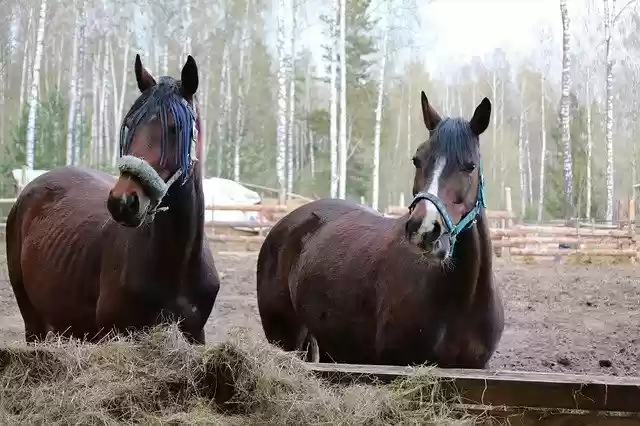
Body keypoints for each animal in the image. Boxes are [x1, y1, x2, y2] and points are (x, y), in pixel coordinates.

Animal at [5, 54, 220, 344]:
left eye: (175, 128)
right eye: (129, 126)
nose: (123, 202)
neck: (176, 265)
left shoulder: (196, 334)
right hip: (34, 324)